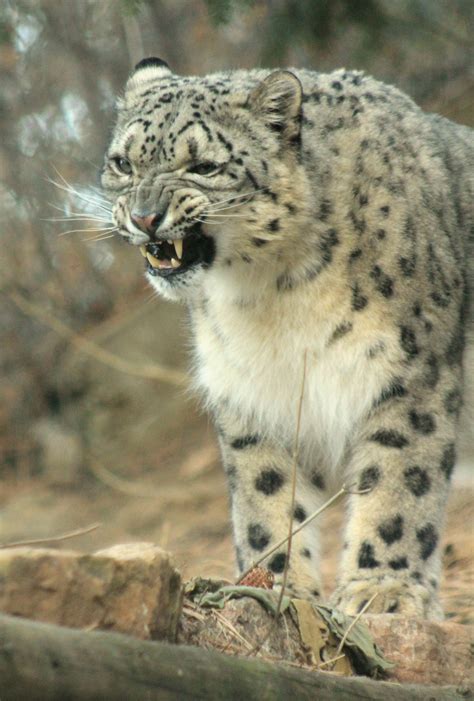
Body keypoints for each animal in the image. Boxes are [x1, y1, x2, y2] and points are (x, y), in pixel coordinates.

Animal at [102, 58, 472, 616]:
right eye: (123, 162)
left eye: (203, 166)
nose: (145, 217)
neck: (270, 294)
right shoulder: (252, 390)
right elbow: (267, 492)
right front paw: (273, 584)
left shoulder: (412, 374)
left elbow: (398, 483)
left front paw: (382, 590)